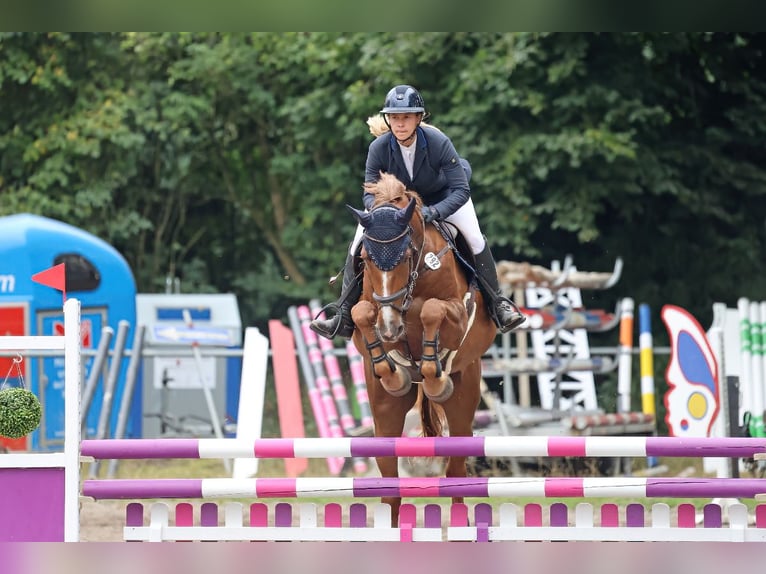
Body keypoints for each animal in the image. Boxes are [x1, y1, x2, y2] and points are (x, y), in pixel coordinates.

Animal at [350, 174, 498, 528]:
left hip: (463, 401)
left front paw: (434, 376)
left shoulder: (458, 314)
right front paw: (391, 372)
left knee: (456, 467)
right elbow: (360, 314)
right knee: (390, 479)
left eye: (405, 255)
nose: (390, 327)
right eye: (366, 260)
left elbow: (431, 310)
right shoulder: (370, 312)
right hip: (384, 415)